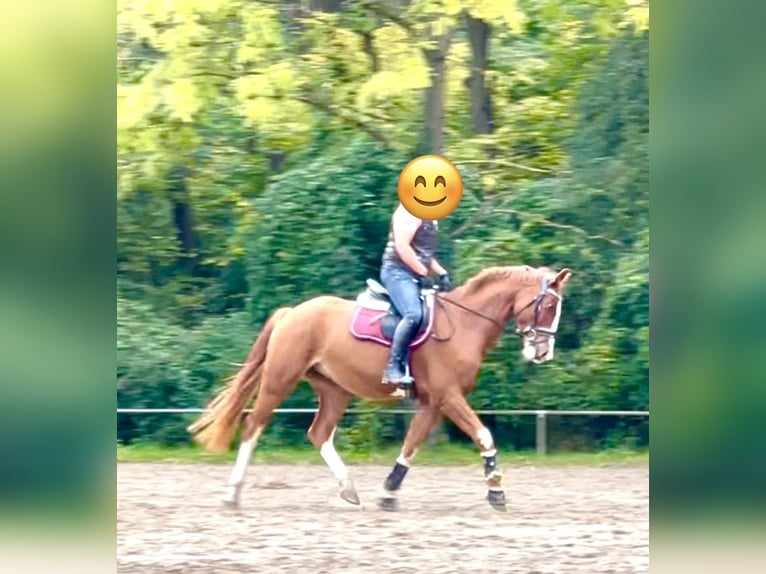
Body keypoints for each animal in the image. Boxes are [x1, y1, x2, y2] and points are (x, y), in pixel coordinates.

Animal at [187, 264, 572, 511]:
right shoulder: (448, 396)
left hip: (335, 390)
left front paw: (389, 492)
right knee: (254, 425)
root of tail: (292, 312)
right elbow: (483, 435)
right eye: (549, 305)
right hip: (280, 379)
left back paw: (348, 488)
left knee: (318, 433)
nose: (543, 353)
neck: (464, 323)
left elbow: (411, 445)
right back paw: (233, 494)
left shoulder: (432, 402)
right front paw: (496, 490)